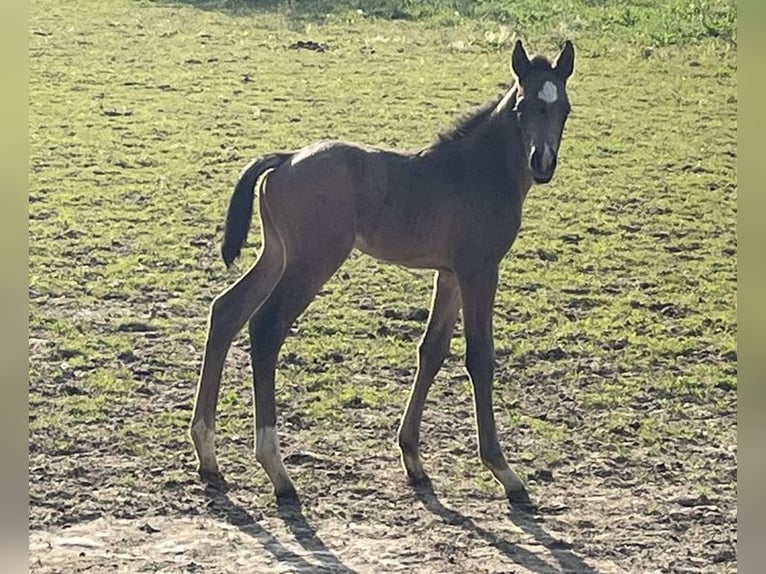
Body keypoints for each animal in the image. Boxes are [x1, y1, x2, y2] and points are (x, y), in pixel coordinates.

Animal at [192, 40, 576, 506]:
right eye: (522, 107)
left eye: (564, 109)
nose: (543, 162)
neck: (476, 171)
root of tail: (286, 159)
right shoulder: (479, 271)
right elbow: (480, 358)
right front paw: (505, 472)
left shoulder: (449, 275)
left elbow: (431, 351)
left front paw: (413, 460)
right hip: (312, 261)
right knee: (266, 327)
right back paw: (277, 470)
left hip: (278, 254)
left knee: (226, 312)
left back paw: (208, 456)